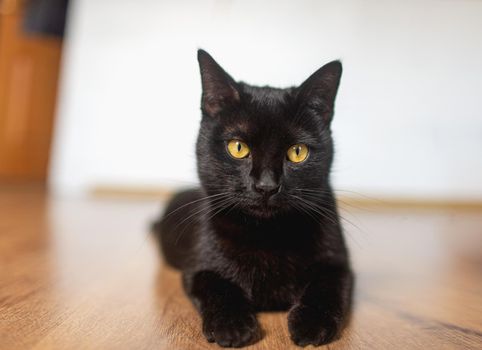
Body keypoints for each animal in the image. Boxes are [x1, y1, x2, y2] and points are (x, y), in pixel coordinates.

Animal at [153, 49, 352, 348]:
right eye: (238, 147)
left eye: (297, 152)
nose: (266, 186)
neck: (267, 235)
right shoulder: (198, 267)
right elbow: (216, 285)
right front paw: (231, 325)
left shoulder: (339, 264)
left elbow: (327, 287)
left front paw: (312, 323)